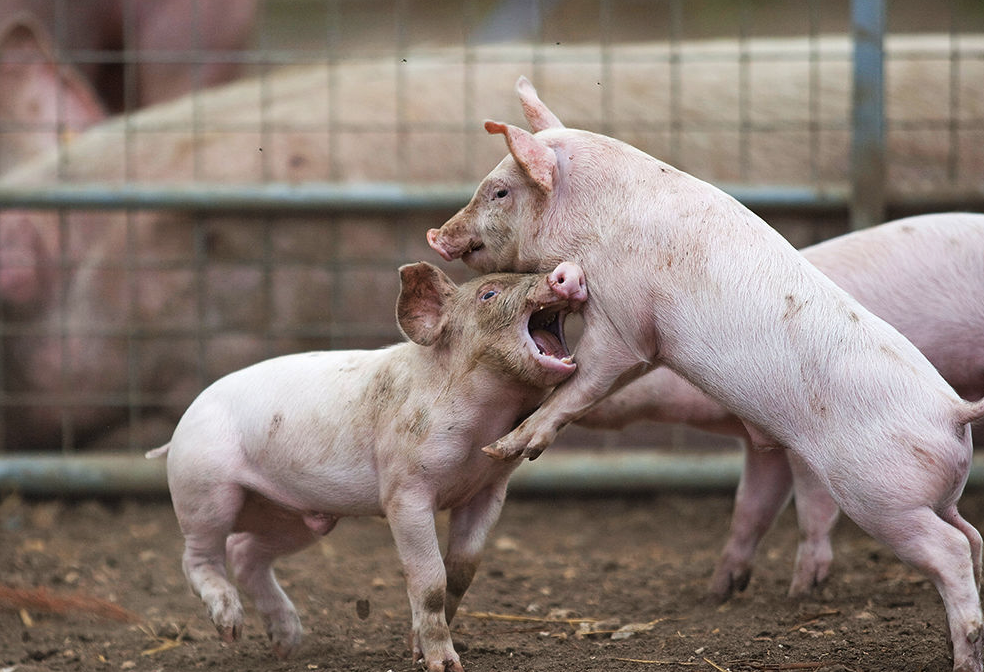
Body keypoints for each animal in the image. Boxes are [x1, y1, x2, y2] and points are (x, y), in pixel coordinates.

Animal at [150, 258, 588, 672]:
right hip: (203, 485)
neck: (483, 427)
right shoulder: (404, 491)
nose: (566, 272)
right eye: (489, 294)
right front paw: (445, 665)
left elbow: (461, 573)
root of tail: (182, 425)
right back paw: (230, 628)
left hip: (289, 515)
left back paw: (288, 644)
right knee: (198, 555)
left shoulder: (488, 489)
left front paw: (416, 650)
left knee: (244, 553)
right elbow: (431, 579)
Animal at [576, 213, 984, 600]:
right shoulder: (759, 442)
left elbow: (811, 506)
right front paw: (719, 592)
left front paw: (801, 591)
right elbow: (751, 508)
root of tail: (957, 409)